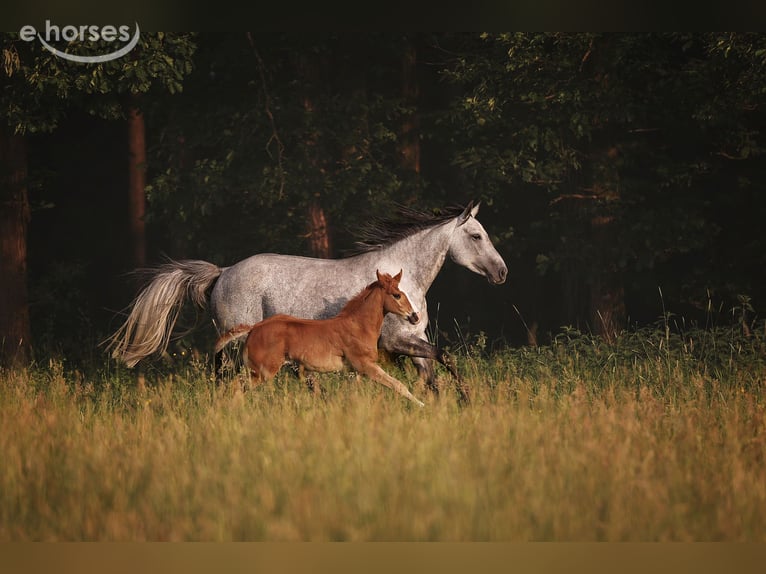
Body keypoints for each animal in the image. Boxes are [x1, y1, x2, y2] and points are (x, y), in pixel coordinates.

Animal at [215, 270, 426, 406]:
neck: (358, 326)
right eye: (397, 295)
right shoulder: (366, 366)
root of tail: (254, 328)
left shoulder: (355, 372)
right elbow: (398, 385)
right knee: (234, 386)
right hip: (261, 372)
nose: (415, 316)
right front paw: (422, 406)